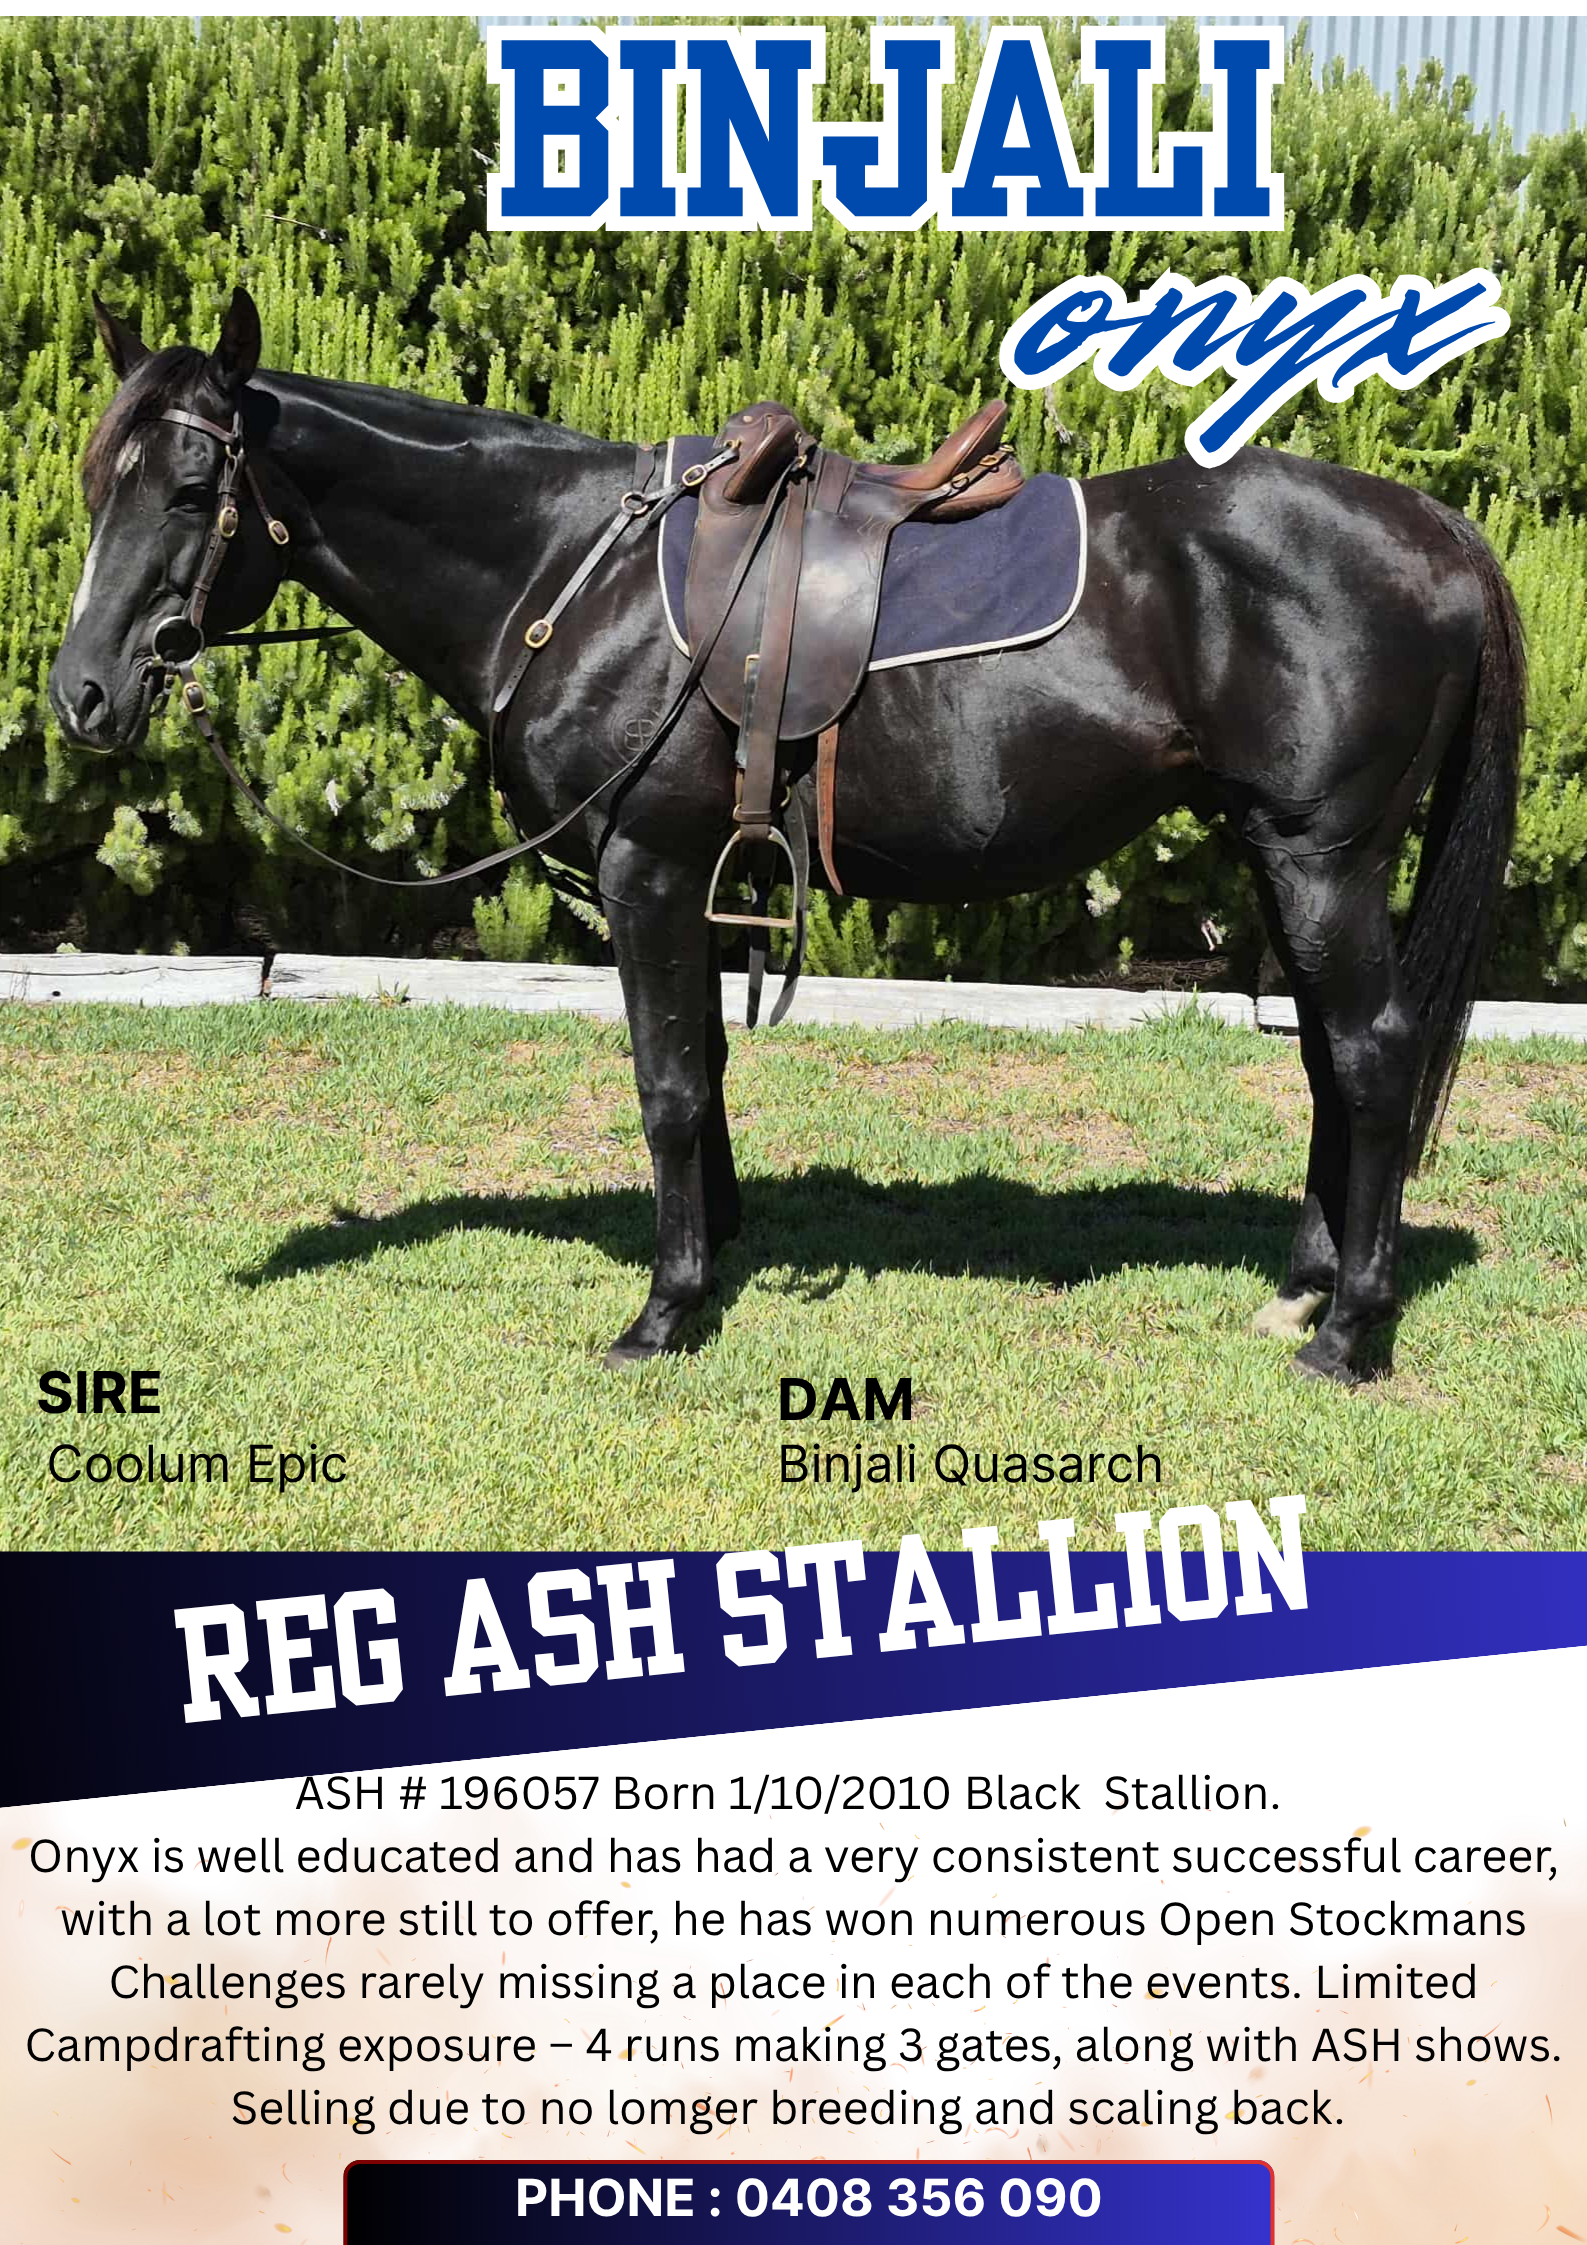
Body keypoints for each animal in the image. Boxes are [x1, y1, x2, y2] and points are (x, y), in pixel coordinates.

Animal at [48, 287, 1525, 1384]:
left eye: (190, 485)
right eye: (97, 480)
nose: (84, 694)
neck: (565, 570)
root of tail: (1439, 531)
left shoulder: (644, 871)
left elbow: (664, 1085)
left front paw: (662, 1311)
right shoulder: (688, 885)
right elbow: (701, 1071)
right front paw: (712, 1261)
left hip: (1321, 861)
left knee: (1374, 1061)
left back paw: (1348, 1333)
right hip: (1285, 860)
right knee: (1331, 1064)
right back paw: (1304, 1290)